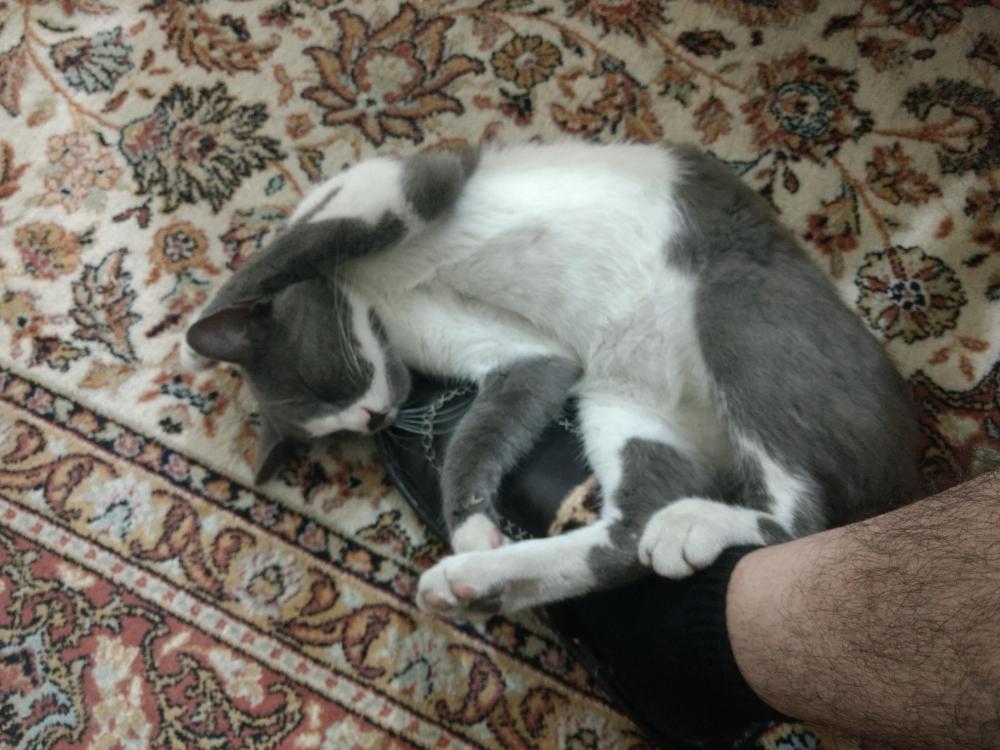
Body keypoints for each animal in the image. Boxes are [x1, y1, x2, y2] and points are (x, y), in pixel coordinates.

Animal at [183, 141, 920, 619]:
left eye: (328, 374)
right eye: (332, 430)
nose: (375, 418)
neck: (380, 301)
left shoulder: (404, 184)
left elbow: (289, 248)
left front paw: (197, 331)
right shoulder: (530, 356)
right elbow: (482, 430)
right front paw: (471, 529)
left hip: (736, 303)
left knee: (802, 518)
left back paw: (694, 525)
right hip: (623, 403)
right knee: (627, 536)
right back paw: (476, 581)